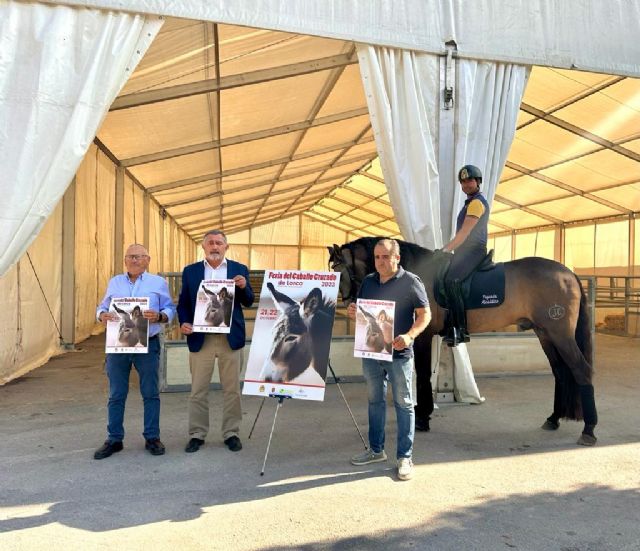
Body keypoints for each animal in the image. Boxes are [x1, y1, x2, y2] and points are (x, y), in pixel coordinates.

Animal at [330, 238, 600, 448]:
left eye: (338, 270)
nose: (342, 306)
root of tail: (568, 273)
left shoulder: (424, 336)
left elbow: (423, 374)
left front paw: (423, 418)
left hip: (560, 333)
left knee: (581, 370)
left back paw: (589, 430)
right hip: (545, 333)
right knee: (561, 372)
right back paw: (553, 419)